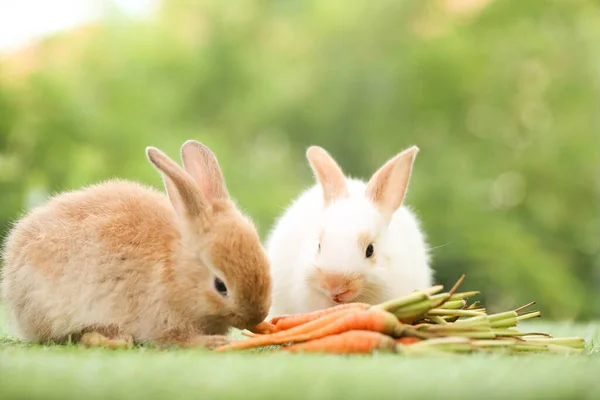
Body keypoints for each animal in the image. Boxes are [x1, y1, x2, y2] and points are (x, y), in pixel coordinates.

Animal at [0, 139, 272, 348]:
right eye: (220, 286)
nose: (255, 318)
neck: (174, 269)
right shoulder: (163, 318)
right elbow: (176, 339)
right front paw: (215, 342)